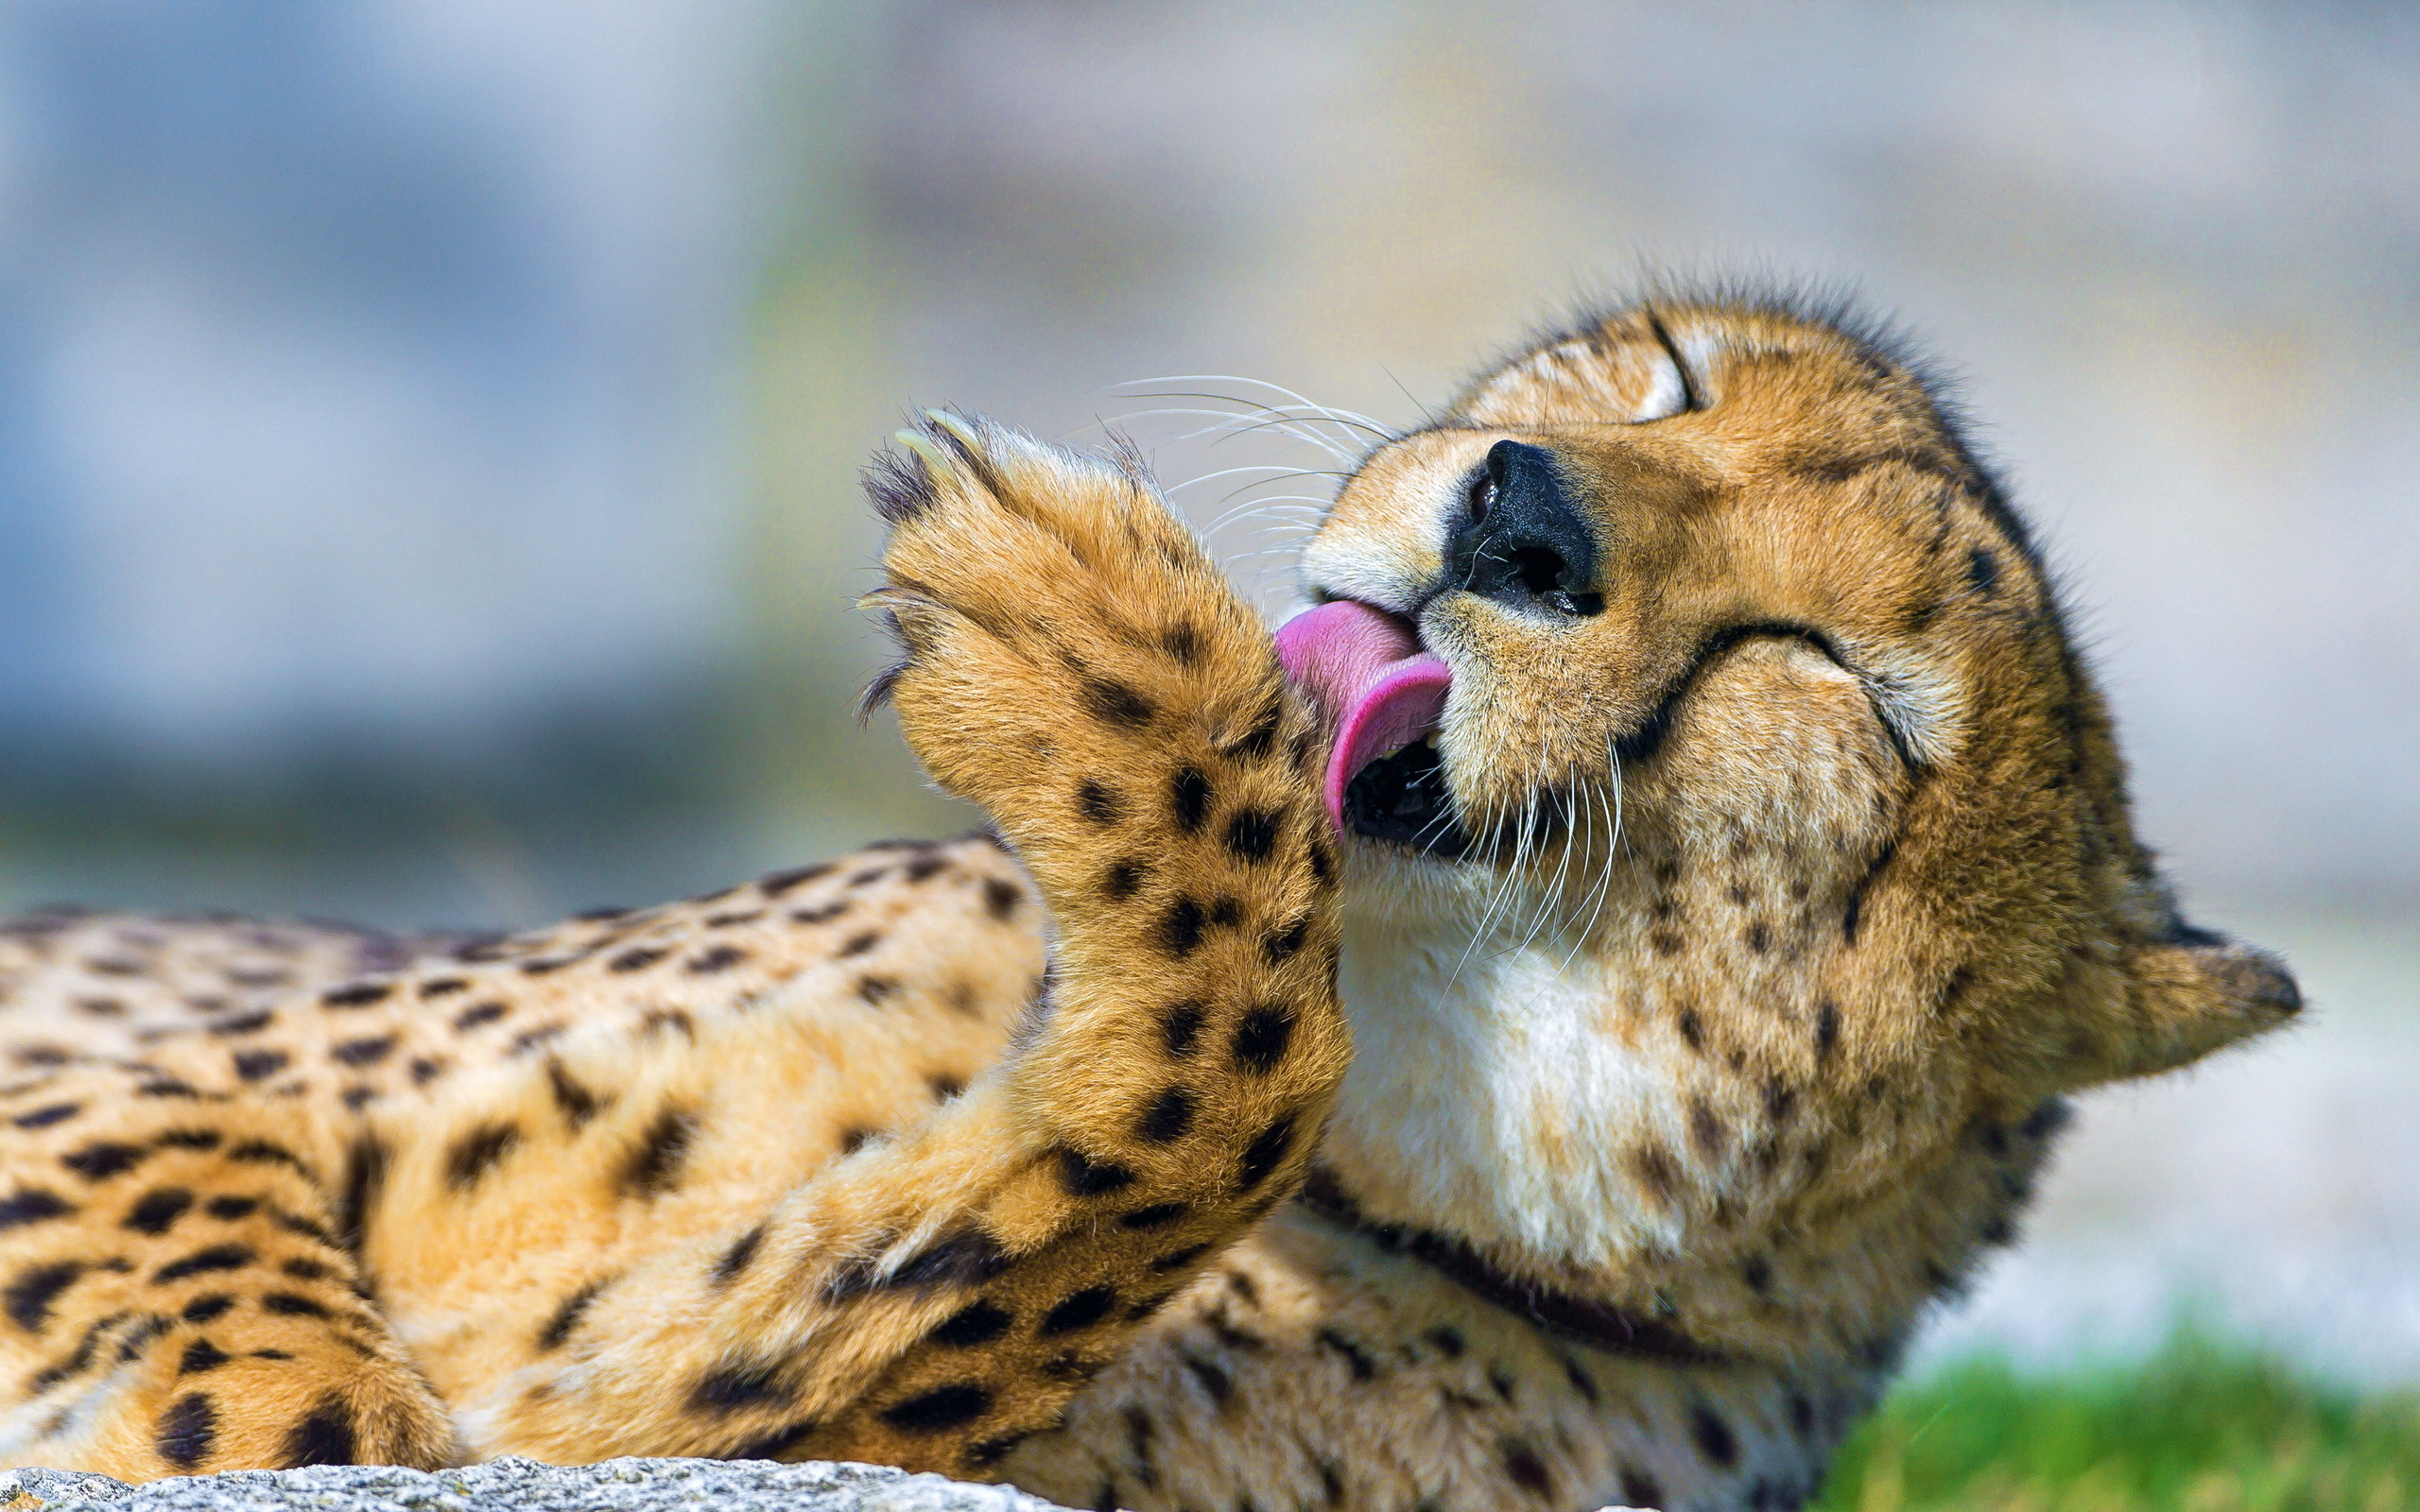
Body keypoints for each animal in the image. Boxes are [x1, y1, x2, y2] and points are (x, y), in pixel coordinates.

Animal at [0, 288, 2293, 1500]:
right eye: (1668, 375)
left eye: (1832, 677)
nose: (1520, 516)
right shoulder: (142, 1096)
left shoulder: (671, 1418)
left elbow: (1161, 1118)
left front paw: (1088, 655)